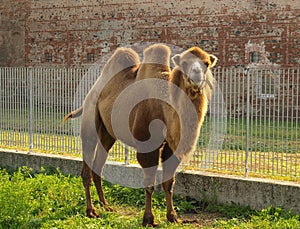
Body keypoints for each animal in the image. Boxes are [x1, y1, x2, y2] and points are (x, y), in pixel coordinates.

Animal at [63, 43, 218, 226]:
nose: (197, 74)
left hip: (108, 133)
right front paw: (148, 219)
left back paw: (106, 205)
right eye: (185, 63)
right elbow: (149, 183)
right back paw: (91, 211)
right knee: (87, 165)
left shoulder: (172, 147)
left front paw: (172, 216)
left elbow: (169, 182)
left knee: (98, 166)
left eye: (206, 63)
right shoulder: (146, 144)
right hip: (90, 117)